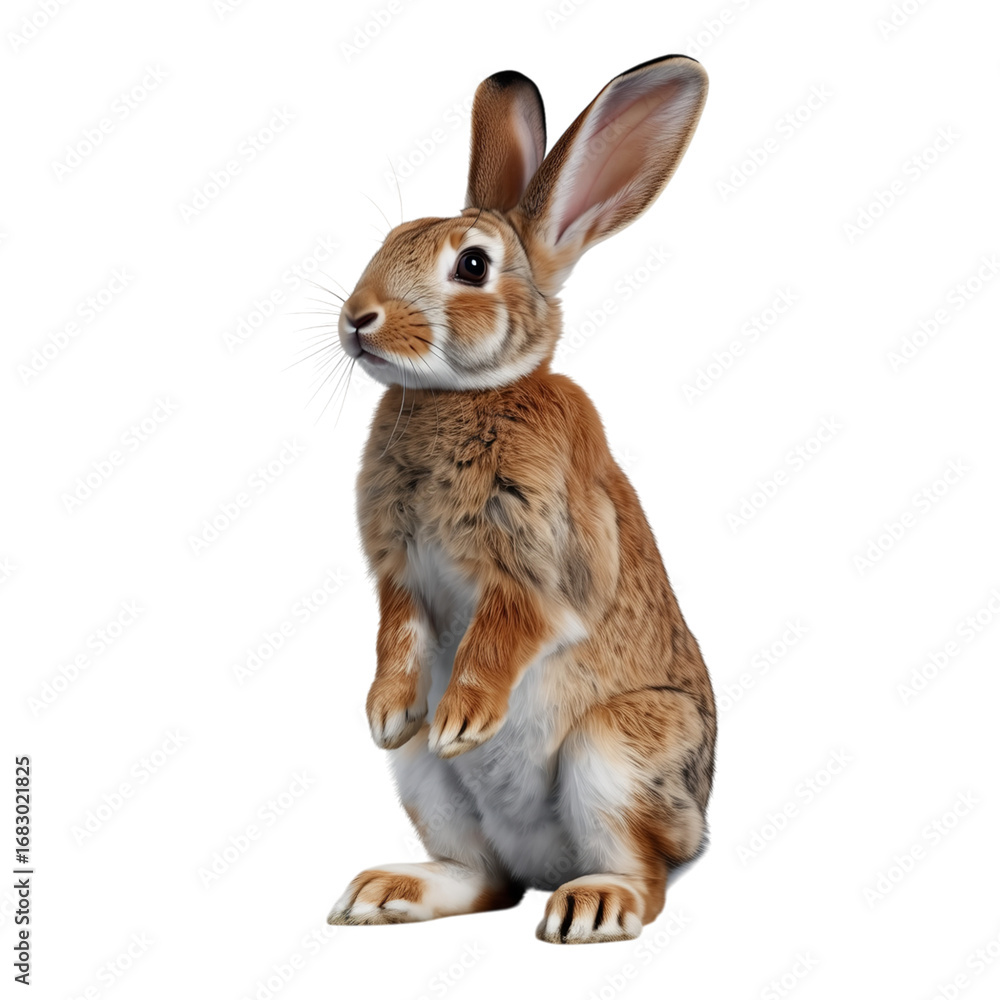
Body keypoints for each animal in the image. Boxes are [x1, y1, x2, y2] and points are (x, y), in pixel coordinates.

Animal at [326, 54, 716, 944]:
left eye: (471, 265)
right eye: (389, 243)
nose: (357, 319)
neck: (463, 394)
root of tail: (548, 865)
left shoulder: (541, 562)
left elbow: (505, 633)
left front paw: (464, 718)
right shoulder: (399, 573)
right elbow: (399, 635)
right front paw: (389, 712)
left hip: (616, 751)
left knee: (647, 877)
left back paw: (592, 907)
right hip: (428, 787)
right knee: (485, 879)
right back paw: (385, 891)